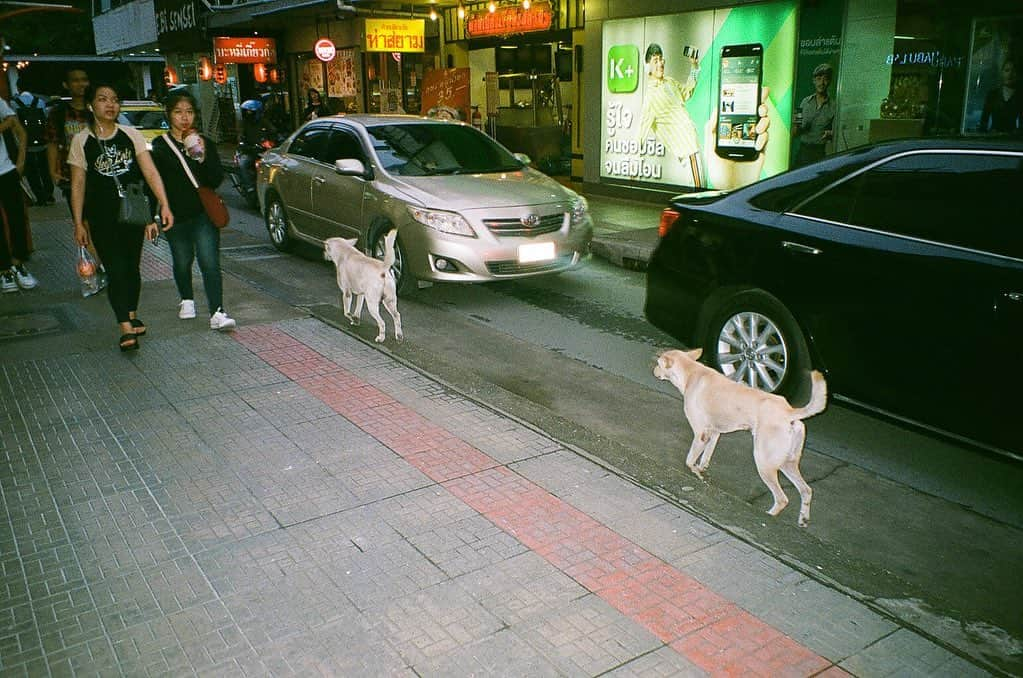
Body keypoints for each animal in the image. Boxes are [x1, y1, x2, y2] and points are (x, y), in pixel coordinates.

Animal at [658, 347, 826, 527]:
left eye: (658, 363)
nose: (653, 369)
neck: (691, 371)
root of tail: (789, 411)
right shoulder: (713, 433)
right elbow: (705, 457)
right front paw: (701, 469)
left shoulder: (700, 433)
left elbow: (690, 460)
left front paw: (695, 472)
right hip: (788, 463)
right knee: (806, 490)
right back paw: (803, 519)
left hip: (764, 463)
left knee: (782, 499)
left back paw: (769, 515)